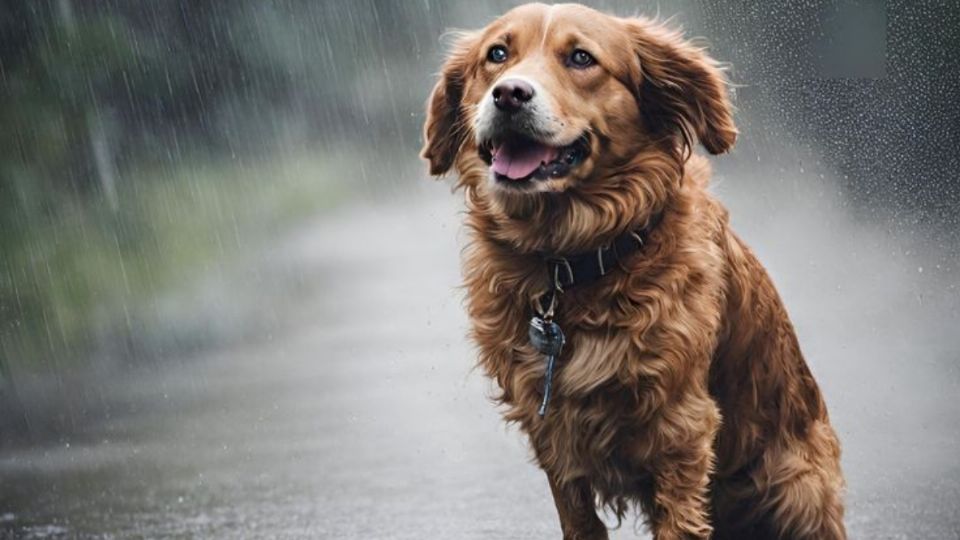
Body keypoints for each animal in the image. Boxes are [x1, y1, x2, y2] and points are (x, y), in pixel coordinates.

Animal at [420, 5, 848, 540]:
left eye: (581, 58)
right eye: (496, 54)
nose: (509, 93)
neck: (572, 263)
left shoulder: (681, 428)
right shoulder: (553, 431)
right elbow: (579, 520)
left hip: (797, 492)